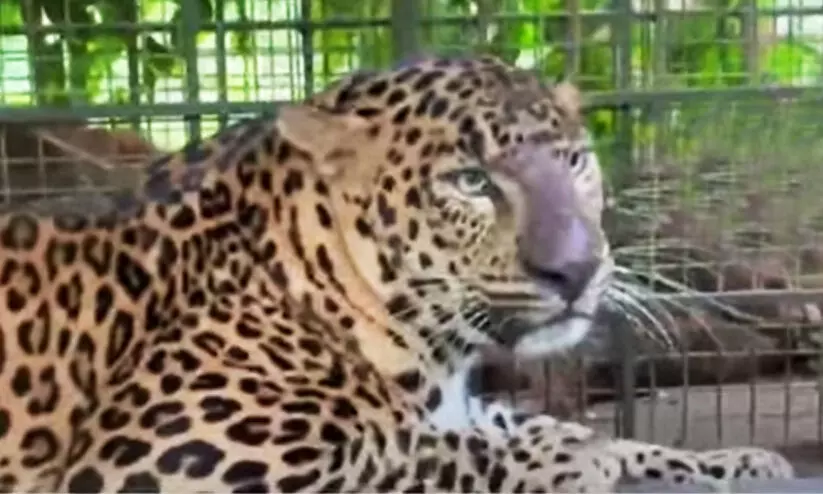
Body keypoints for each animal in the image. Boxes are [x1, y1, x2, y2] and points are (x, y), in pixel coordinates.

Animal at [0, 54, 794, 493]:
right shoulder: (167, 460)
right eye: (470, 182)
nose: (576, 270)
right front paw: (571, 461)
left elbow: (542, 427)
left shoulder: (462, 402)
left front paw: (737, 462)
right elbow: (407, 456)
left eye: (574, 162)